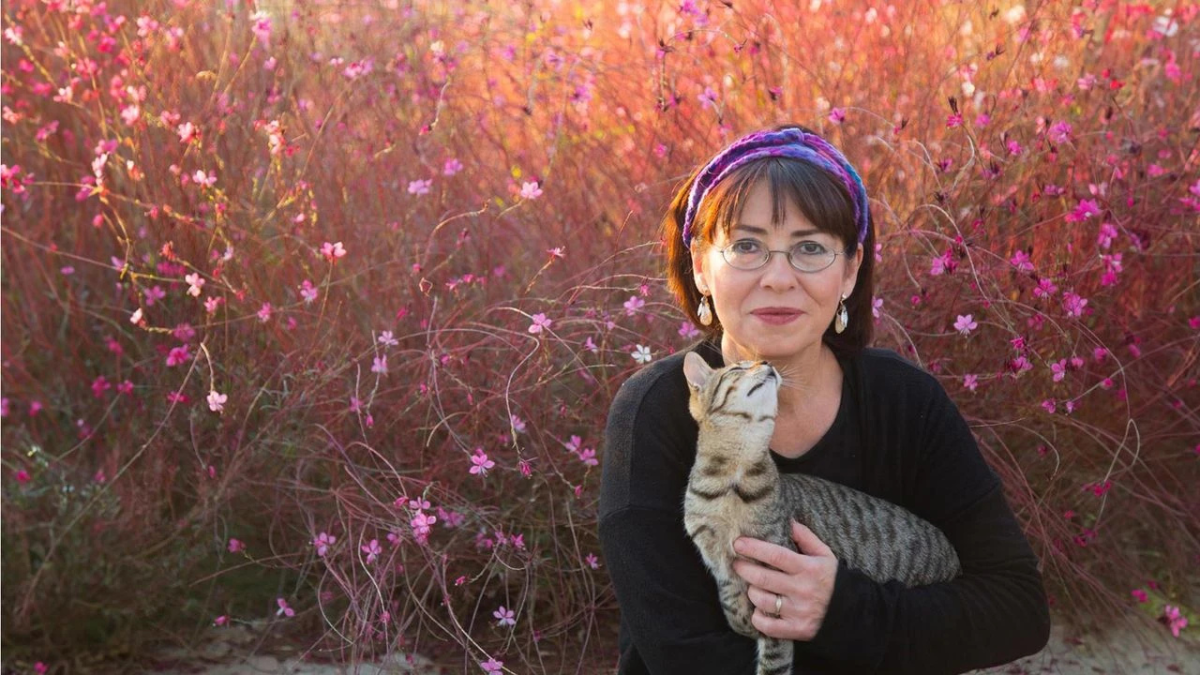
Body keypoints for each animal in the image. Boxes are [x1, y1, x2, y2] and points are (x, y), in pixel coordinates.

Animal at [681, 353, 961, 675]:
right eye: (738, 367)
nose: (766, 362)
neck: (732, 480)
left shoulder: (776, 571)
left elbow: (774, 659)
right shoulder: (715, 555)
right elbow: (729, 597)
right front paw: (742, 619)